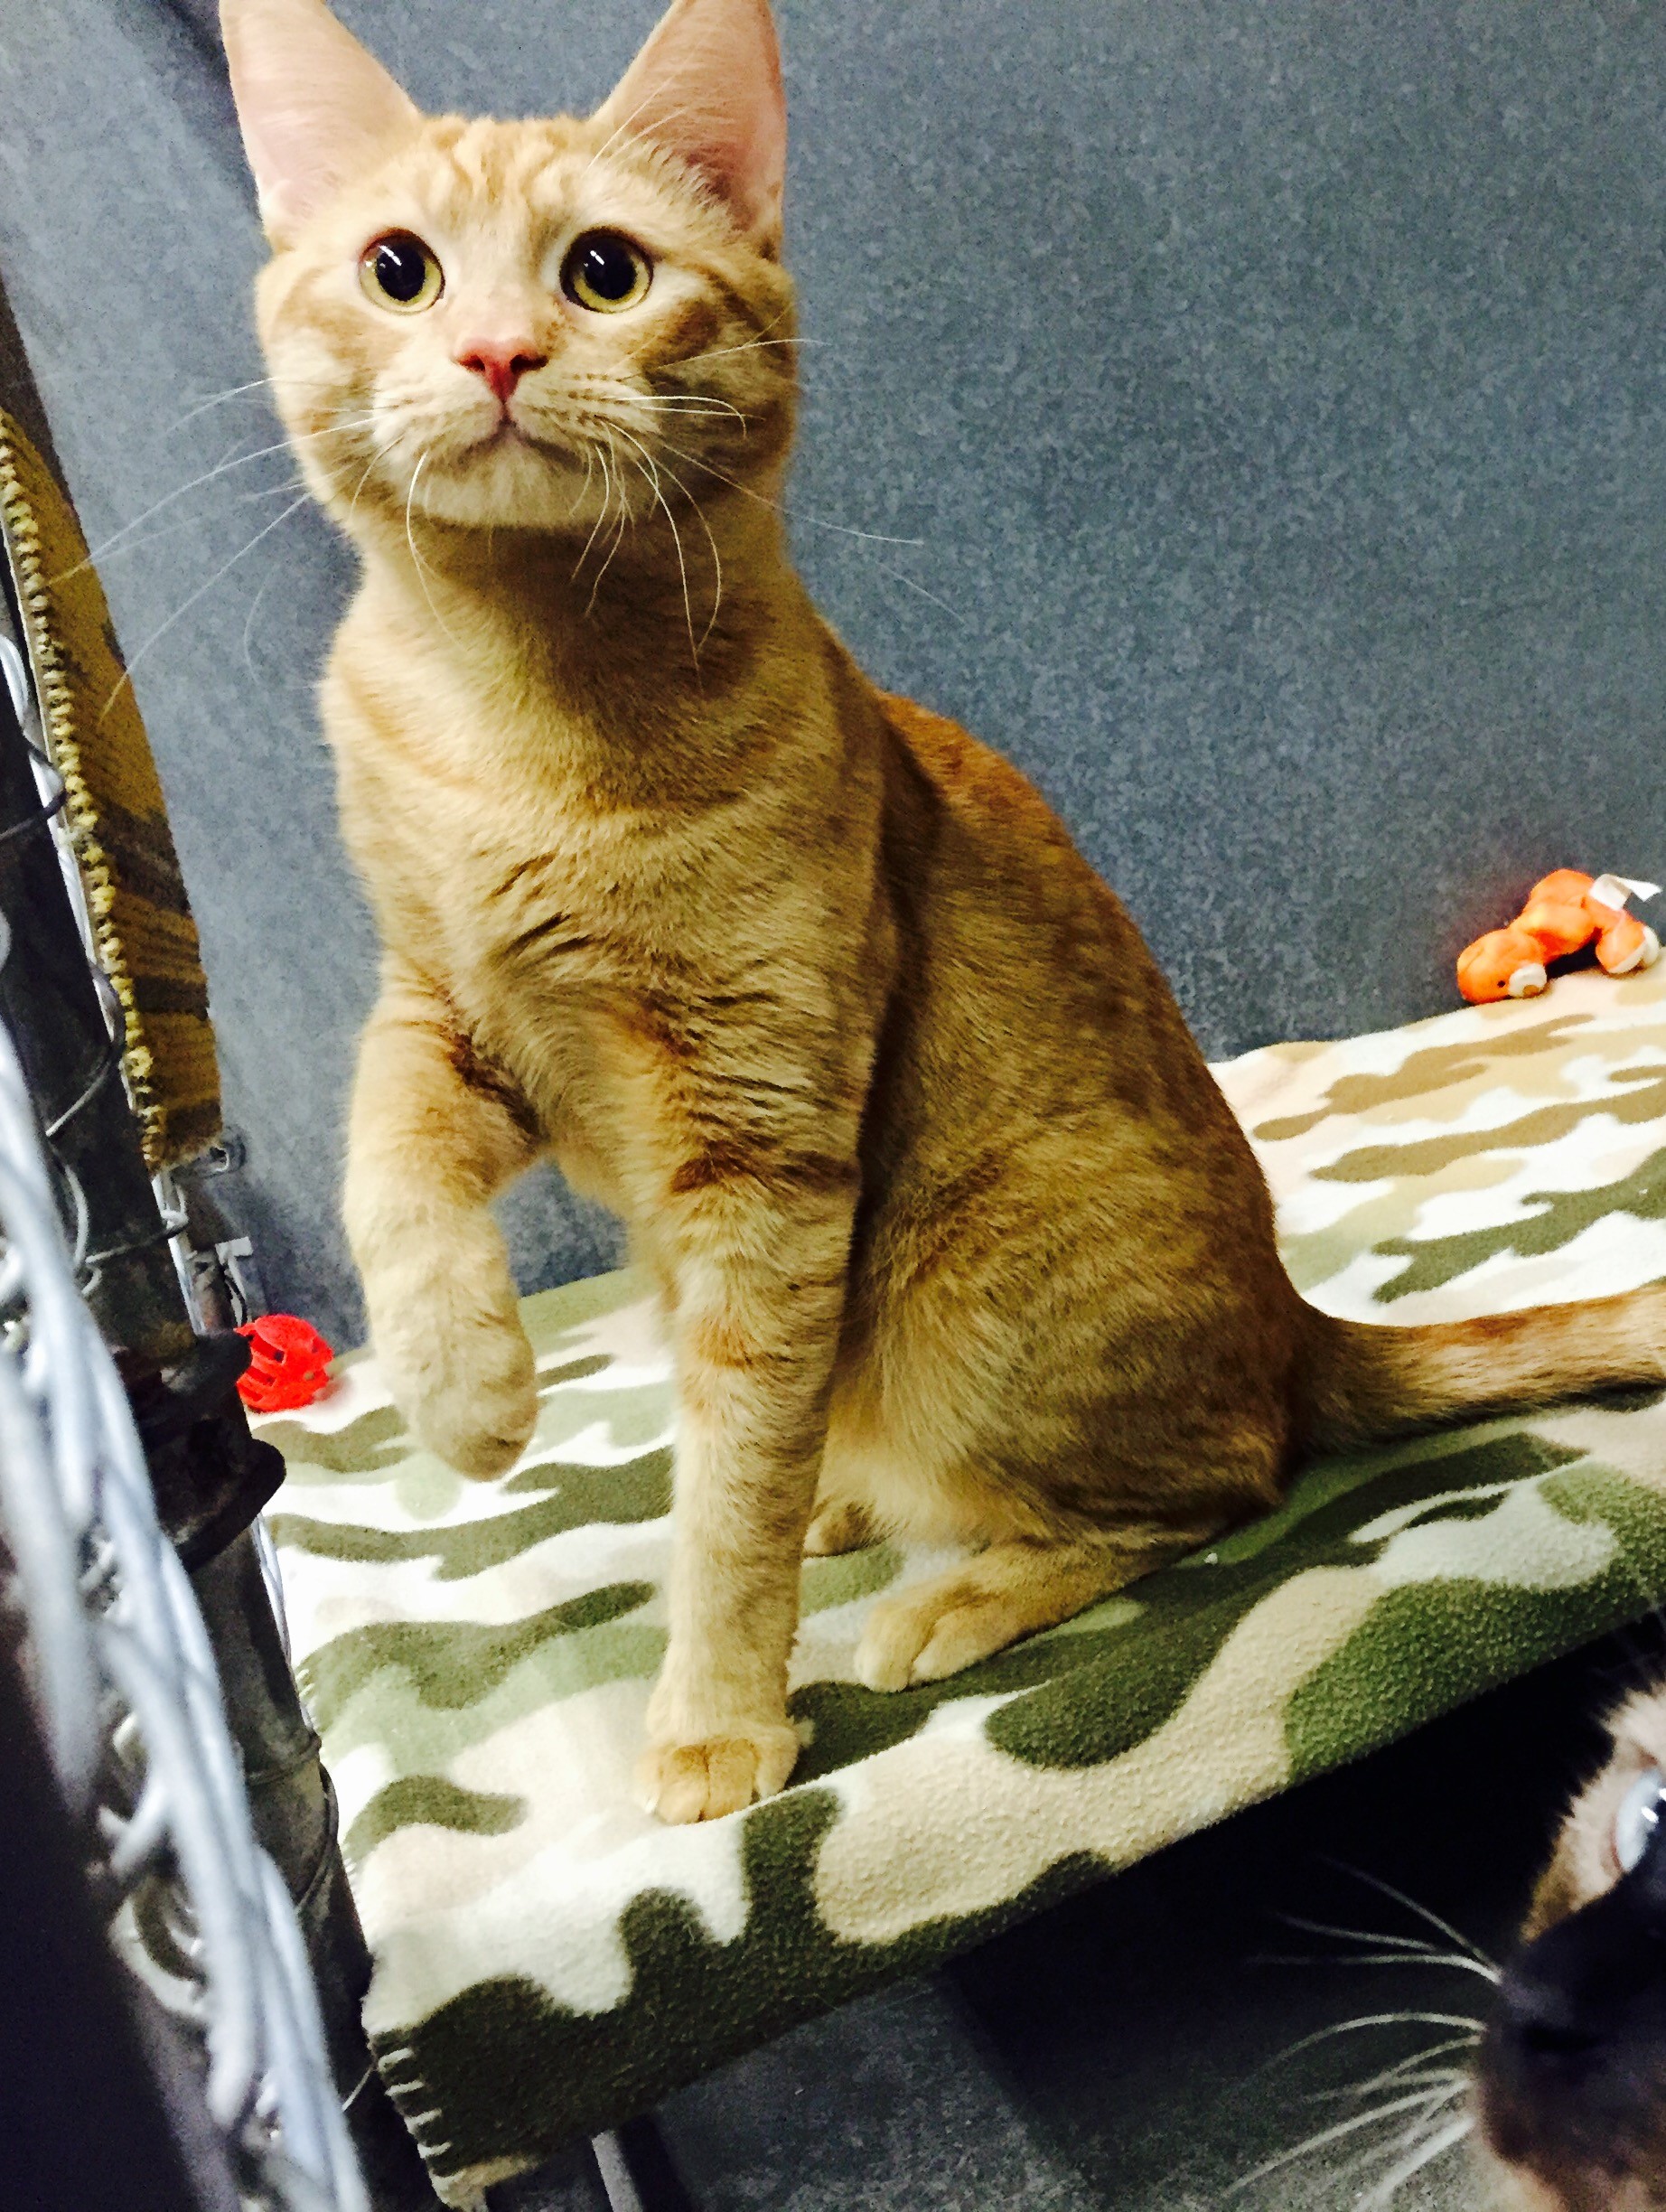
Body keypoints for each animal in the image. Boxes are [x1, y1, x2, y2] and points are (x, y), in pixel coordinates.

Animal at [222, 0, 1666, 1824]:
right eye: (398, 270)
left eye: (604, 271)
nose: (491, 353)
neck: (525, 708)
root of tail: (1297, 1329)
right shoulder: (449, 1010)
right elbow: (387, 1169)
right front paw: (463, 1387)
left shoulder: (762, 1154)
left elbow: (727, 1495)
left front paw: (716, 1715)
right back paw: (853, 1504)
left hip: (961, 1313)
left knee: (1216, 1485)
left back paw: (950, 1587)